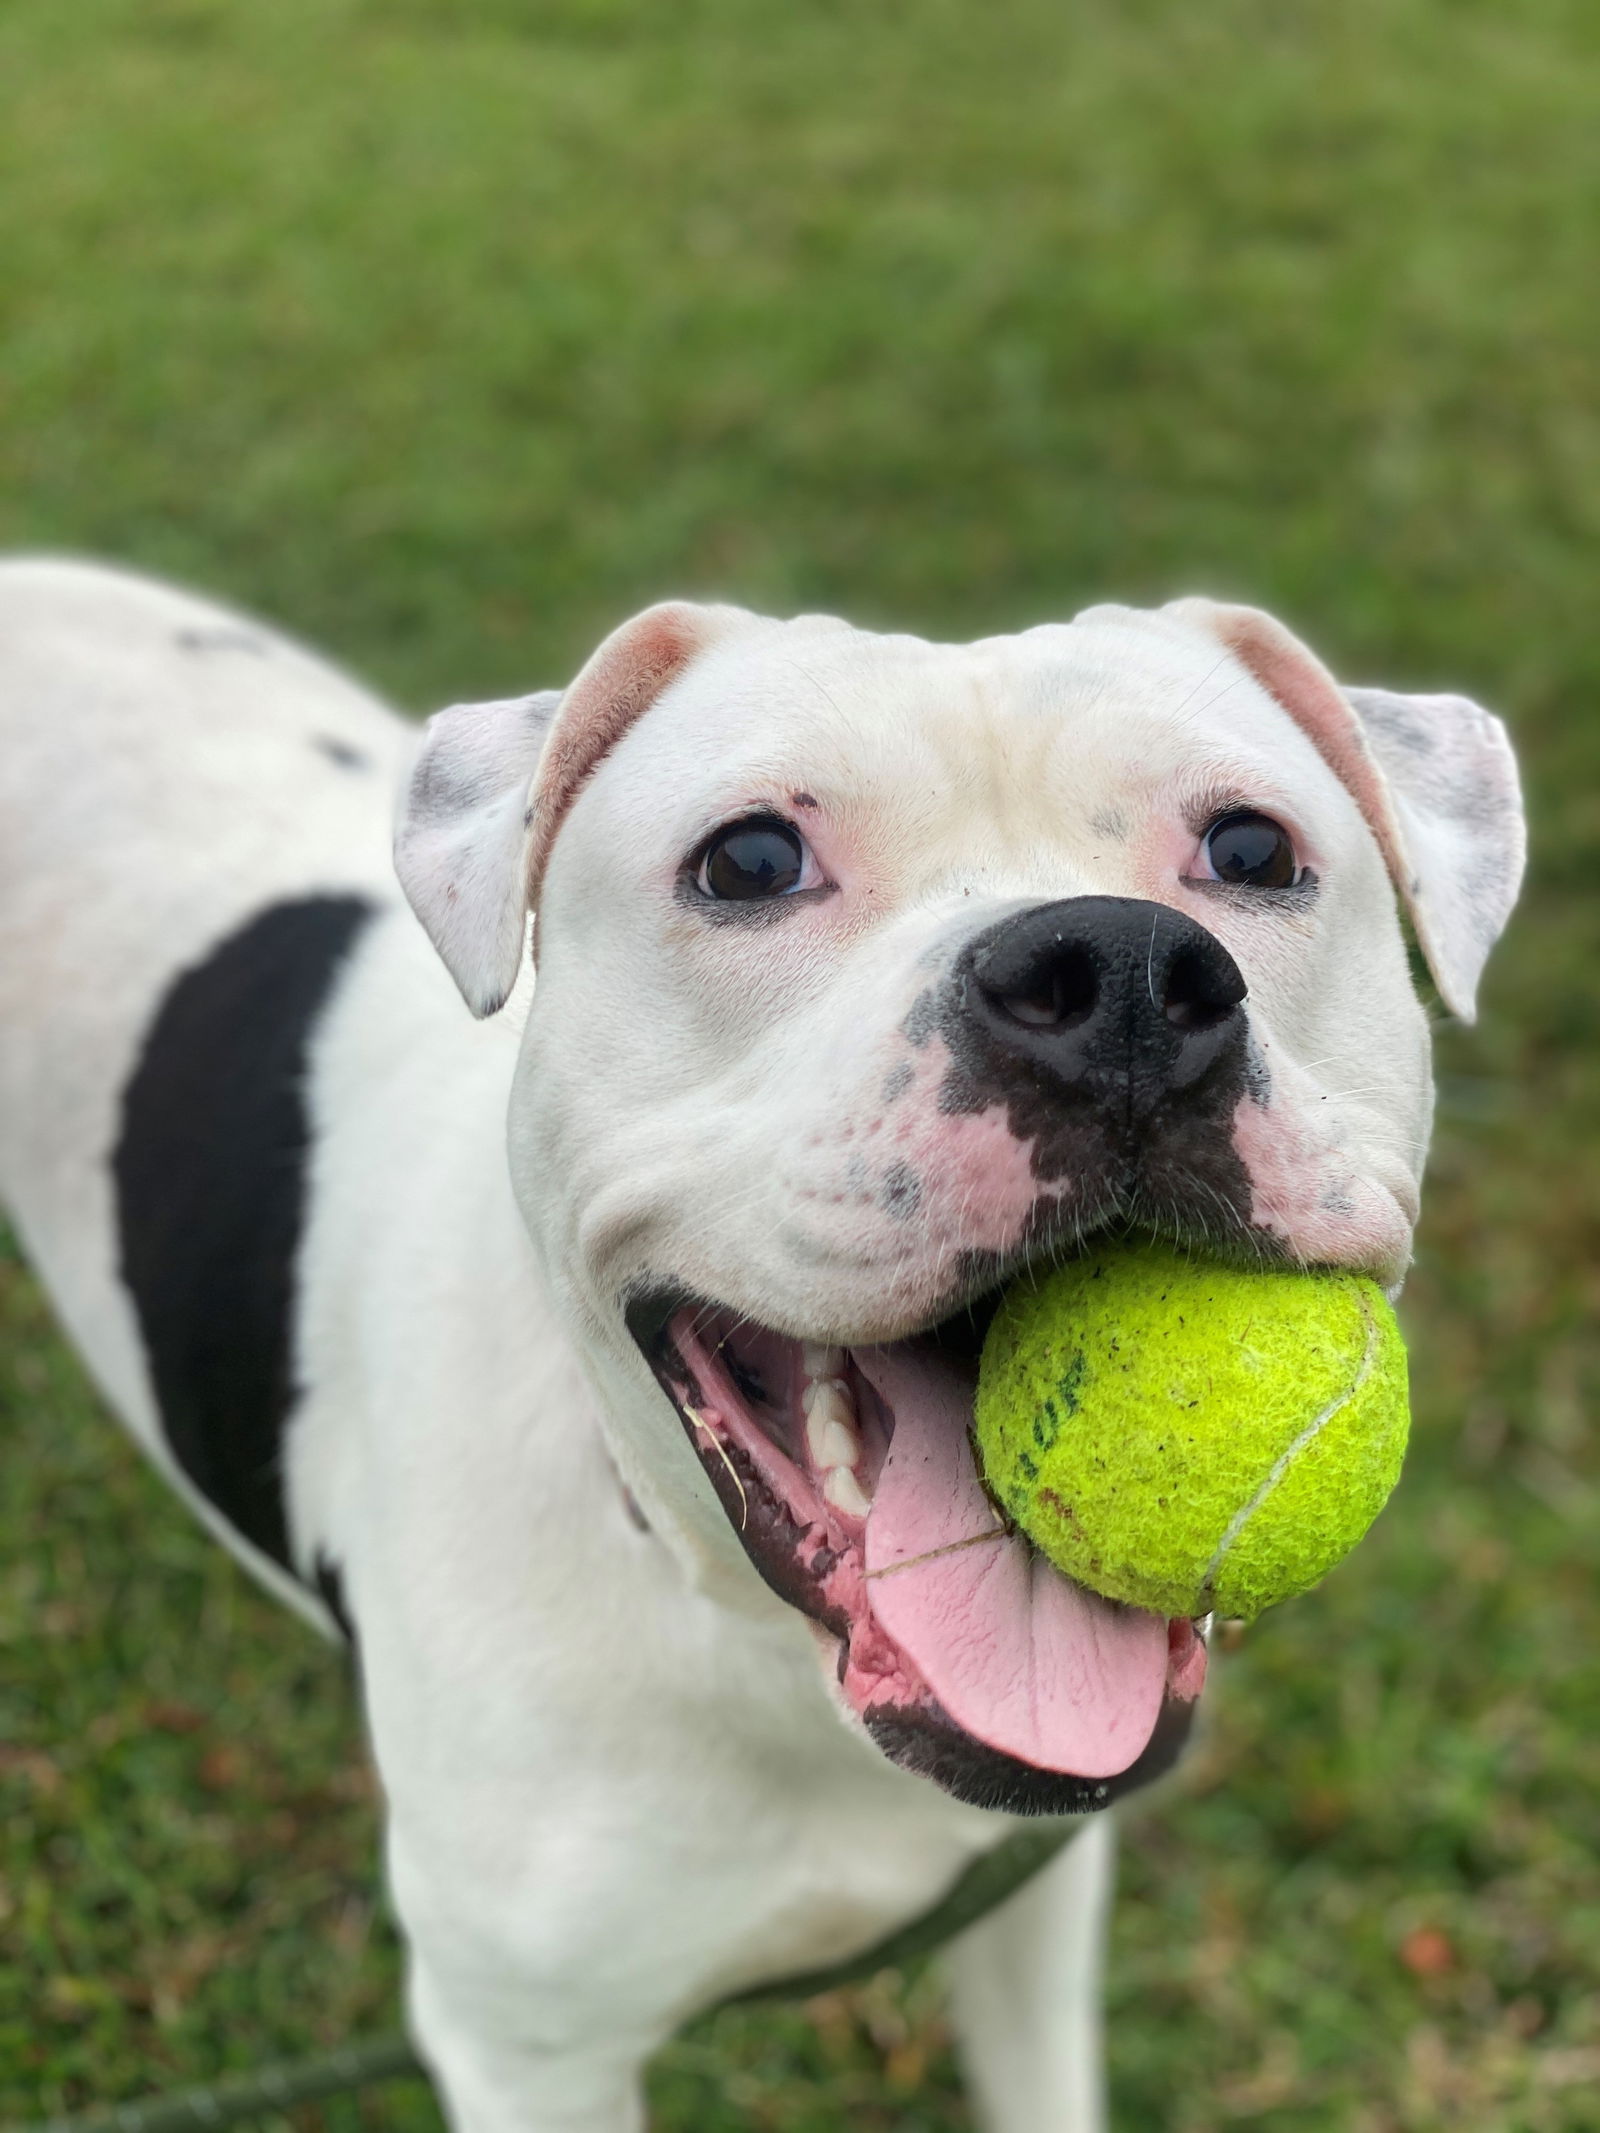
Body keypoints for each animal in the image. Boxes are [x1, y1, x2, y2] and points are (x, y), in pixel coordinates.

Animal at [0, 567, 1527, 2133]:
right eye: (745, 861)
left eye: (1251, 846)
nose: (1118, 975)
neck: (762, 1650)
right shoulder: (528, 2052)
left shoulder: (1031, 1907)